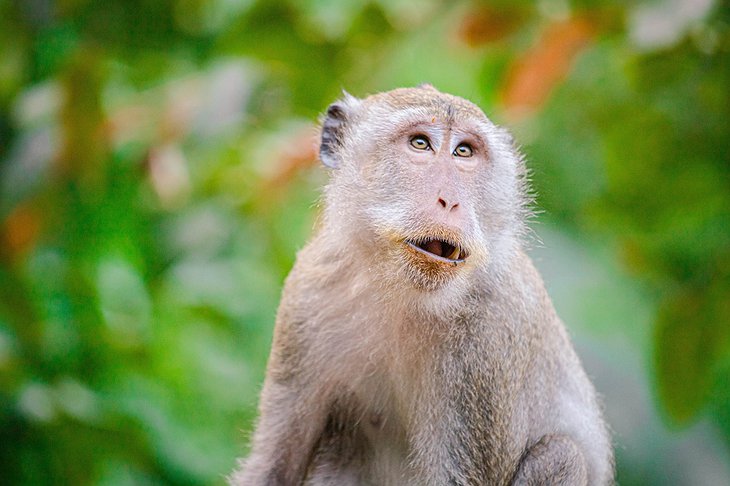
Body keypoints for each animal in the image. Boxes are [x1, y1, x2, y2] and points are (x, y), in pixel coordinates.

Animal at [230, 85, 612, 484]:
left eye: (464, 151)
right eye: (420, 143)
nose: (450, 201)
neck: (400, 289)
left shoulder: (487, 336)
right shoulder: (307, 293)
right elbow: (274, 465)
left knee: (560, 455)